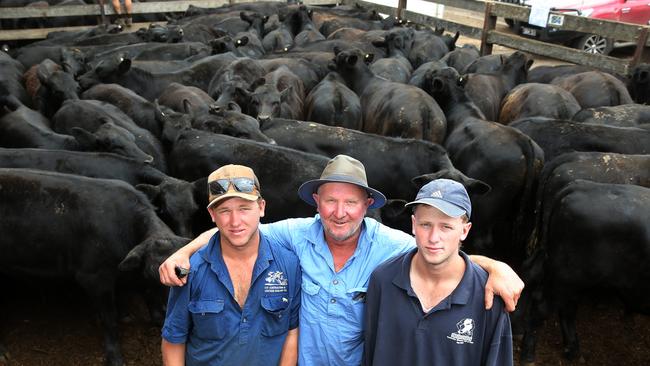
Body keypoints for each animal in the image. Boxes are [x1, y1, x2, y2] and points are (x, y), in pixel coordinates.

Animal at [520, 179, 648, 364]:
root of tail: (581, 185)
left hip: (571, 278)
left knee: (565, 305)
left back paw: (571, 350)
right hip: (566, 276)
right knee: (542, 306)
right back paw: (528, 354)